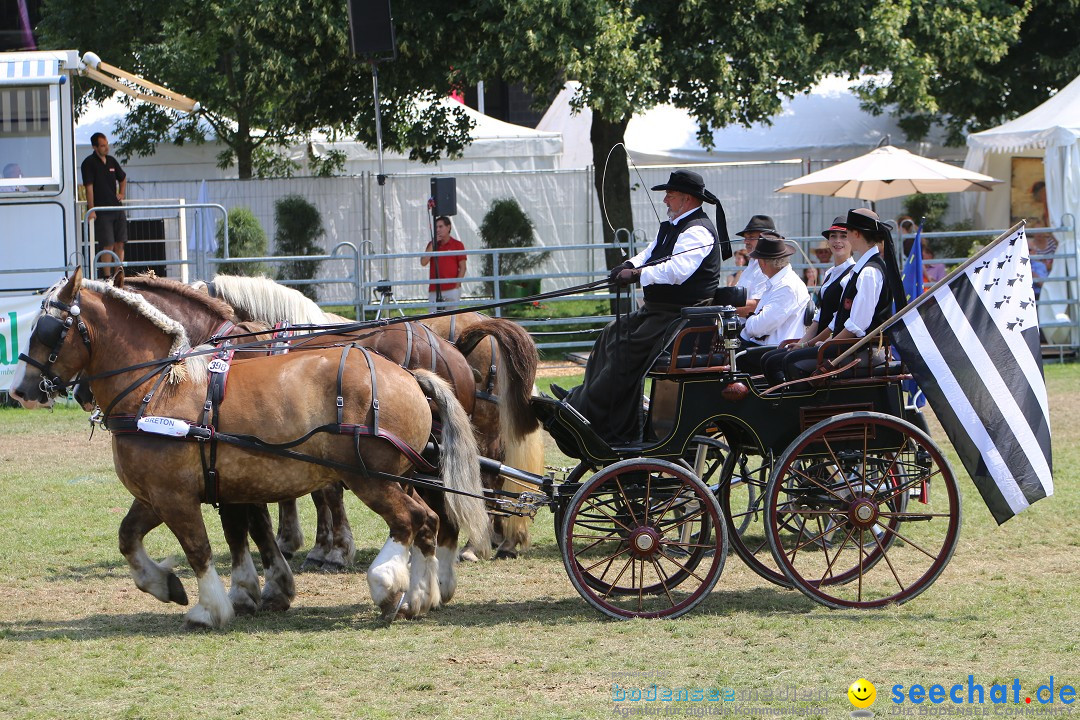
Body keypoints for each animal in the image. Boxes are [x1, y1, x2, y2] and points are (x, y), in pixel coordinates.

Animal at [9, 267, 486, 626]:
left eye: (47, 329)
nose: (20, 391)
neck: (157, 388)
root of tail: (412, 375)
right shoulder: (160, 493)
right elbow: (130, 538)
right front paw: (168, 585)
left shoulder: (177, 496)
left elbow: (204, 548)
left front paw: (216, 606)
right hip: (403, 473)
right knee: (429, 521)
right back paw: (420, 595)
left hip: (372, 478)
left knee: (410, 520)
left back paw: (389, 584)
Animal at [198, 276, 544, 561]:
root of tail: (453, 348)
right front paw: (302, 541)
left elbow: (323, 492)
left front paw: (328, 549)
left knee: (485, 476)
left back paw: (480, 543)